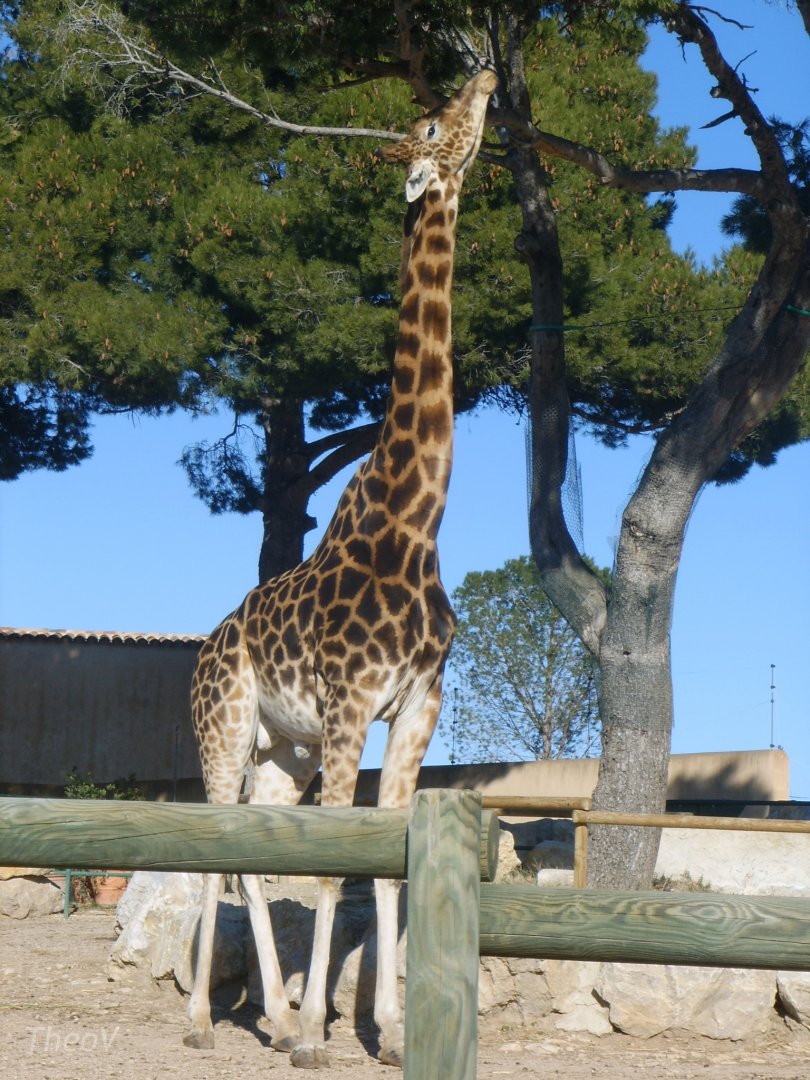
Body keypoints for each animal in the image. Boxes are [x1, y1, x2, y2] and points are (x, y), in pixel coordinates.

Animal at [184, 68, 498, 1070]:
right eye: (432, 126)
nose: (485, 74)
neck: (415, 518)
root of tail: (205, 646)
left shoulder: (417, 705)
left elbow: (384, 868)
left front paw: (387, 1033)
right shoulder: (351, 703)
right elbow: (331, 874)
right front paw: (326, 1037)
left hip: (280, 747)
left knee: (256, 848)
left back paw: (276, 1014)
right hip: (225, 728)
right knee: (216, 846)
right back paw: (209, 1018)